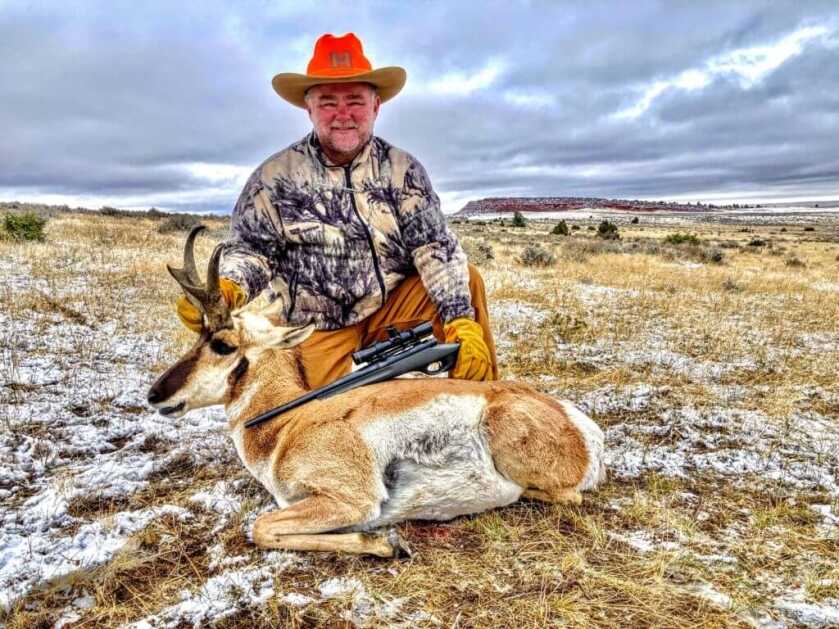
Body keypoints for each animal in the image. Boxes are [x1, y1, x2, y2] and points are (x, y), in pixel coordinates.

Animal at [148, 227, 606, 557]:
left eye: (221, 344)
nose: (155, 396)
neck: (286, 425)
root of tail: (580, 425)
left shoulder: (351, 500)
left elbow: (259, 527)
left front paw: (384, 542)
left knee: (565, 496)